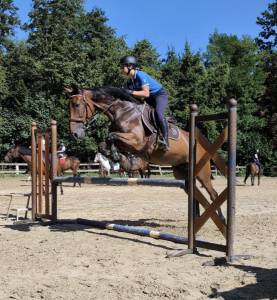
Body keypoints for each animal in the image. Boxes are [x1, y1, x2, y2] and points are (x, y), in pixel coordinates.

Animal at [66, 86, 224, 220]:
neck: (122, 112)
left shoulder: (137, 141)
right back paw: (196, 217)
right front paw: (114, 156)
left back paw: (221, 218)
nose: (75, 134)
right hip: (182, 173)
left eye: (77, 105)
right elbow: (104, 143)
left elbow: (111, 136)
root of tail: (201, 144)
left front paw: (116, 155)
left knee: (213, 193)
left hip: (202, 172)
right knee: (194, 193)